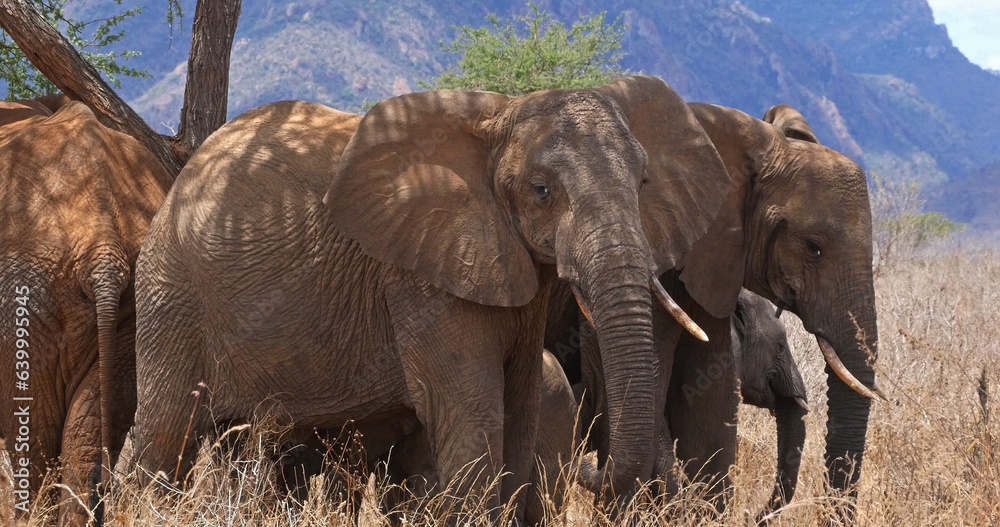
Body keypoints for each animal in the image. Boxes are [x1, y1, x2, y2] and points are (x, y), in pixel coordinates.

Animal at [128, 75, 733, 520]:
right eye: (541, 190)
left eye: (644, 183)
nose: (596, 470)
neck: (497, 123)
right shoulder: (422, 276)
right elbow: (470, 415)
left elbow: (518, 411)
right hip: (170, 291)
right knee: (165, 434)